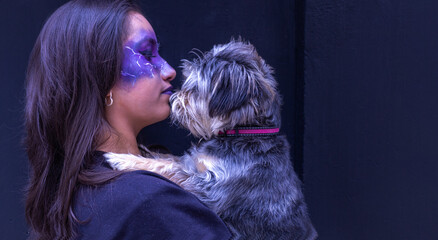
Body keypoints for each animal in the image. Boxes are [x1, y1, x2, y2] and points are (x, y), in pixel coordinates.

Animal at [106, 38, 318, 239]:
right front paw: (144, 150)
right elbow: (169, 159)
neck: (244, 132)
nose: (172, 98)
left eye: (195, 90)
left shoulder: (210, 189)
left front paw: (122, 159)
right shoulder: (194, 162)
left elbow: (169, 168)